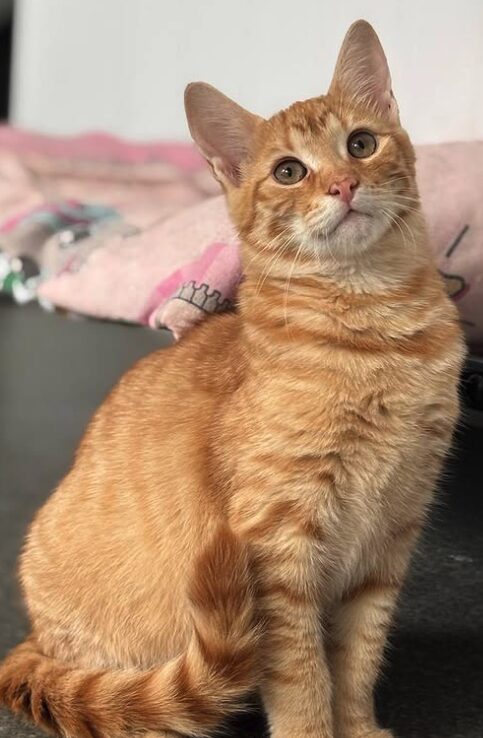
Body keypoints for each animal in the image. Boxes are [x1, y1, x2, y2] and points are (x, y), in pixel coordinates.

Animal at [0, 20, 468, 736]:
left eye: (360, 144)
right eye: (289, 171)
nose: (343, 185)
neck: (375, 331)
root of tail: (33, 642)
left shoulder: (389, 540)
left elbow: (358, 659)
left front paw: (358, 727)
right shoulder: (277, 551)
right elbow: (303, 677)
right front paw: (315, 730)